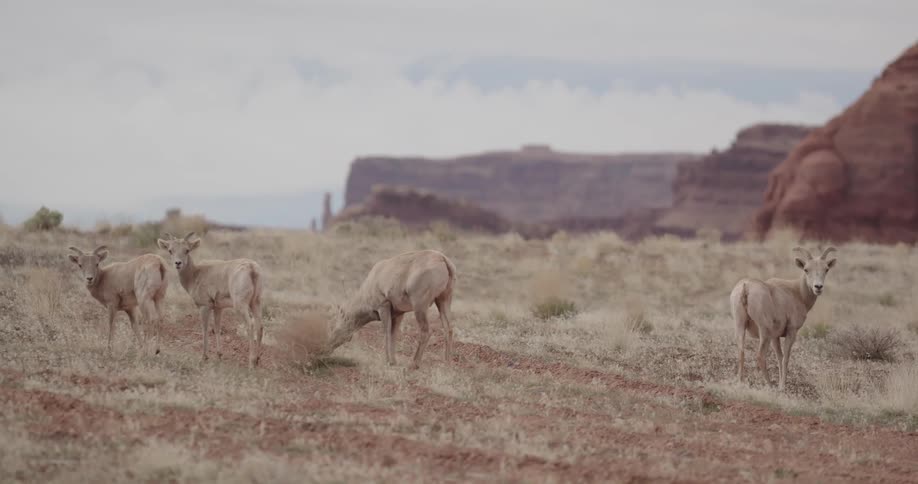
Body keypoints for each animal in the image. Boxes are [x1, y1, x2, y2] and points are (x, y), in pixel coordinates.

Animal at [157, 232, 265, 368]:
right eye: (170, 250)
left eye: (187, 250)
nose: (178, 263)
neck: (195, 274)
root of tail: (251, 268)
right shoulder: (218, 308)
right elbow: (217, 328)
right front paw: (219, 355)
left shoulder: (204, 307)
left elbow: (205, 329)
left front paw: (204, 357)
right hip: (256, 303)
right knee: (260, 326)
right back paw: (257, 360)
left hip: (241, 306)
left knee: (250, 325)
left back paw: (251, 363)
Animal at [328, 250, 456, 369]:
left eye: (336, 328)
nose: (328, 347)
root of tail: (443, 259)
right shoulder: (399, 313)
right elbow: (394, 334)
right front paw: (393, 361)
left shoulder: (383, 306)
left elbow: (387, 332)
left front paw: (387, 361)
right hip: (443, 299)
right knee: (448, 328)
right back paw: (447, 363)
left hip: (420, 305)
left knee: (426, 331)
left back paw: (414, 364)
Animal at [730, 246, 837, 390]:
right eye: (806, 269)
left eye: (826, 269)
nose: (818, 287)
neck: (796, 293)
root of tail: (746, 287)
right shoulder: (791, 331)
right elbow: (786, 357)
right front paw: (782, 386)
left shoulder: (775, 337)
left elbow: (779, 357)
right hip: (764, 332)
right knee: (760, 356)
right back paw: (770, 385)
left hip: (740, 326)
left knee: (741, 352)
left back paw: (741, 382)